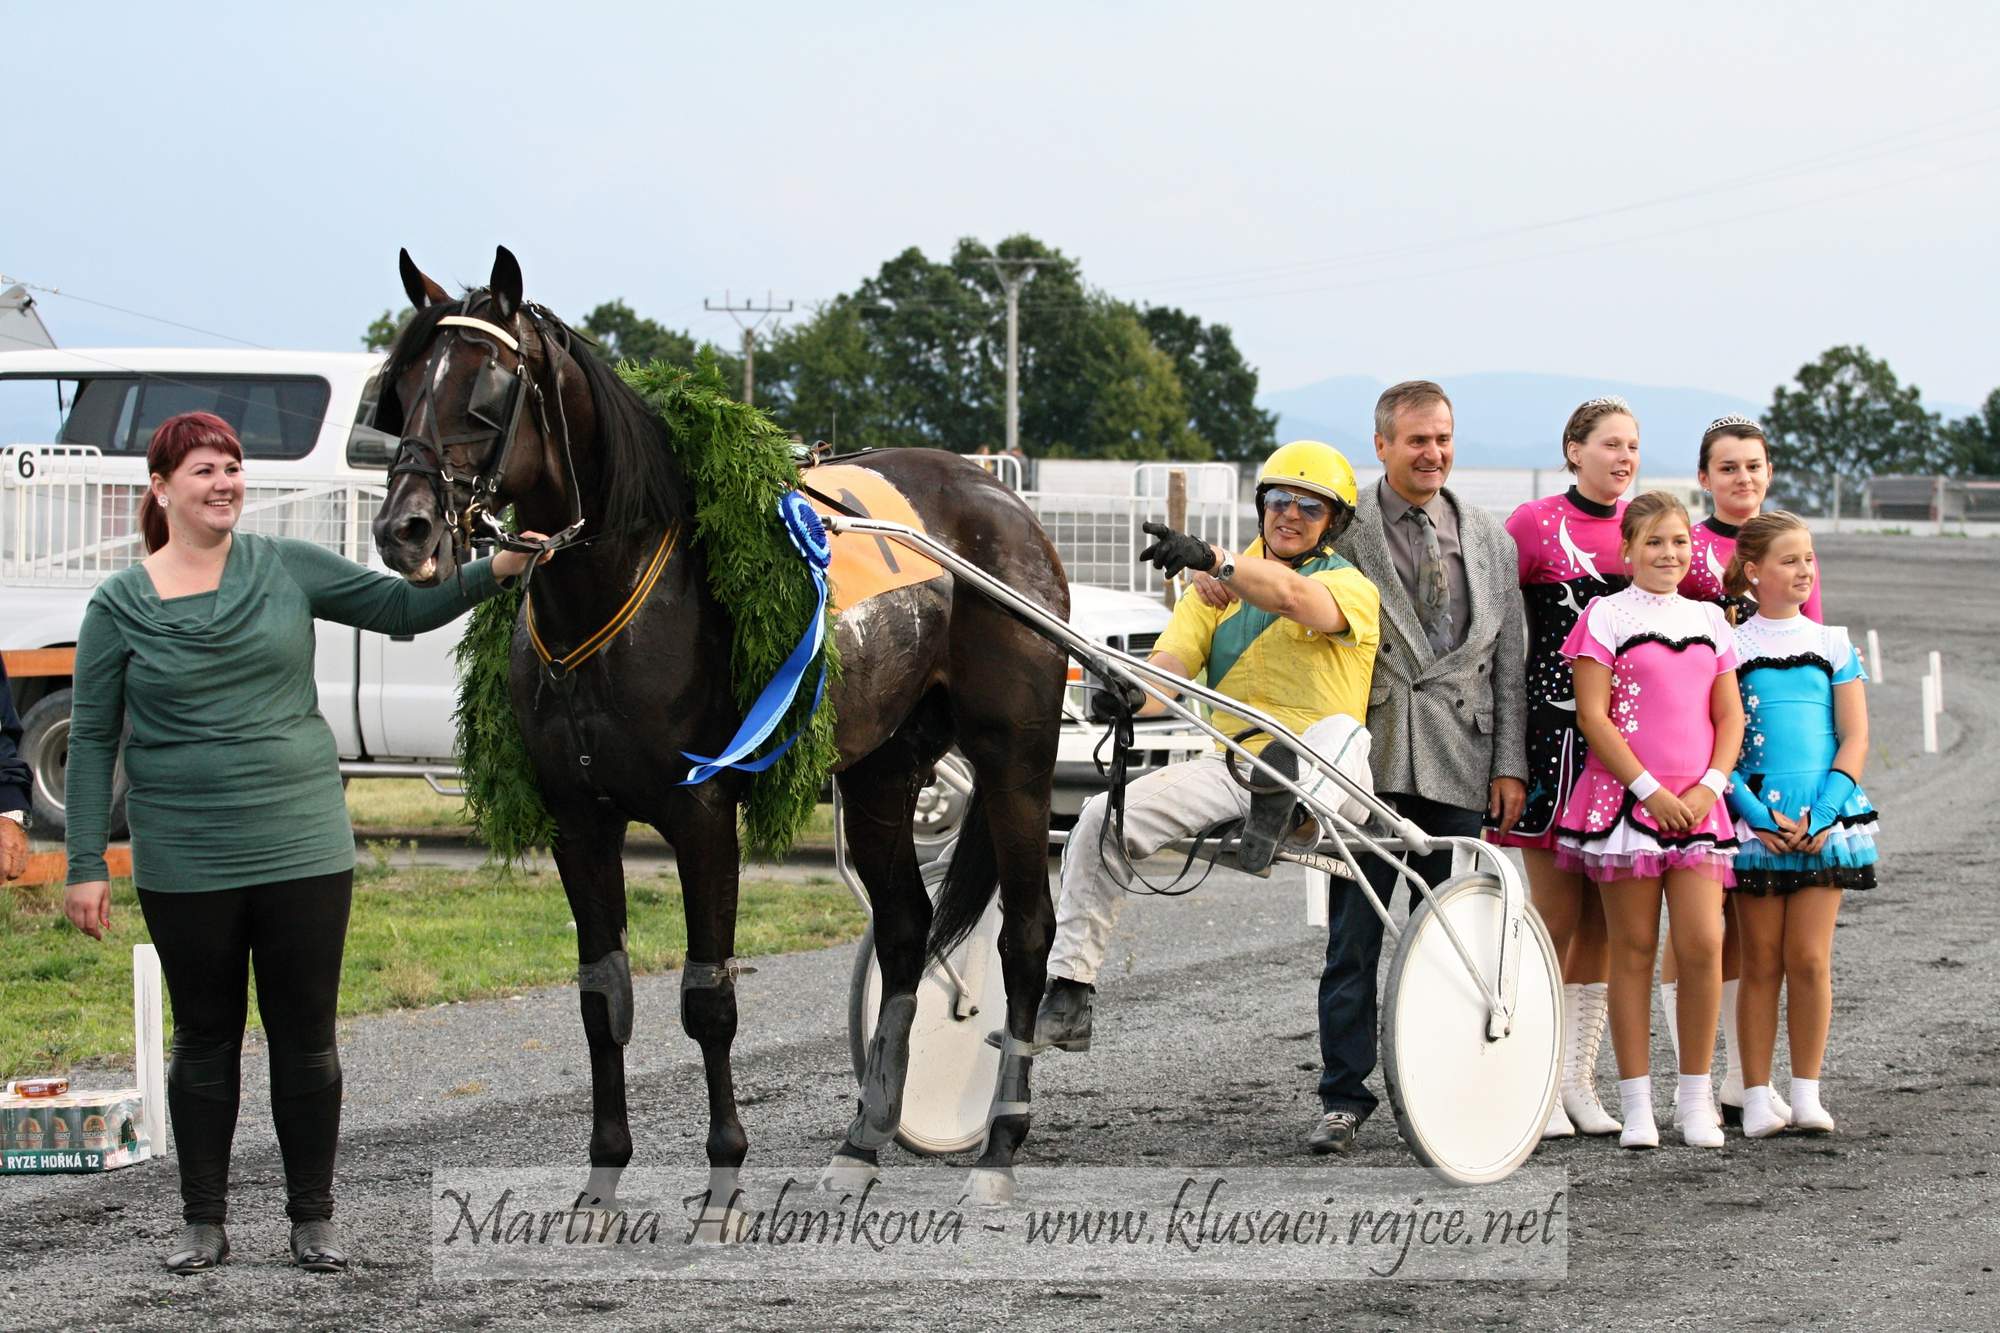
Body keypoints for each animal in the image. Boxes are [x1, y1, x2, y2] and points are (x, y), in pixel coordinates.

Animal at [368, 244, 1072, 1208]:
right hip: (883, 767)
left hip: (1014, 754)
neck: (612, 597)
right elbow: (602, 995)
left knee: (1025, 933)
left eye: (486, 389)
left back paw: (999, 1148)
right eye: (401, 384)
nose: (404, 528)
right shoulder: (577, 819)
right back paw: (862, 1140)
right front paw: (602, 1182)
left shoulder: (702, 813)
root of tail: (1002, 499)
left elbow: (708, 998)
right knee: (903, 928)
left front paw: (724, 1180)